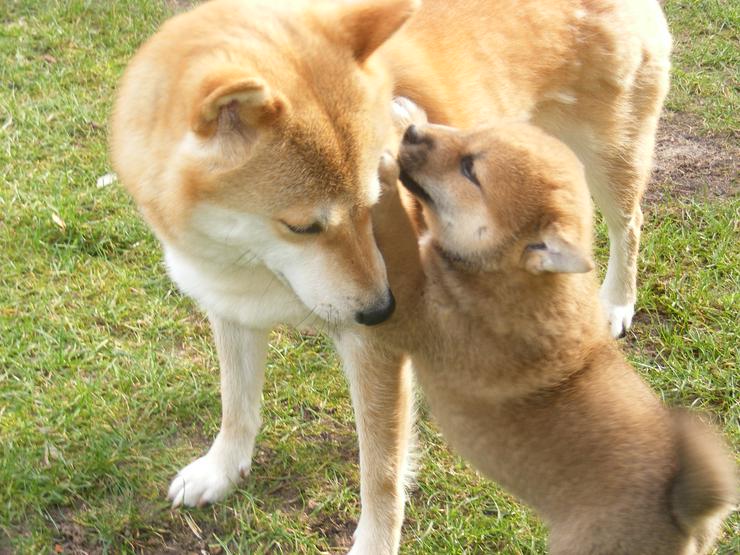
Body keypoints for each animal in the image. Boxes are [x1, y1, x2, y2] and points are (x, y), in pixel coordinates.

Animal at [110, 0, 672, 552]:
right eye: (302, 227)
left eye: (373, 201)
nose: (384, 308)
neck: (249, 265)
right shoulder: (231, 309)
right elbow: (237, 404)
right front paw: (222, 469)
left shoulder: (374, 348)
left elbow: (380, 471)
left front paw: (375, 541)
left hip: (608, 157)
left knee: (628, 225)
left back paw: (615, 301)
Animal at [382, 105, 736, 555]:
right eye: (470, 133)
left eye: (469, 170)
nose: (412, 133)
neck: (503, 272)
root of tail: (682, 514)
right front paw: (406, 112)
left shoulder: (412, 306)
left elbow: (394, 237)